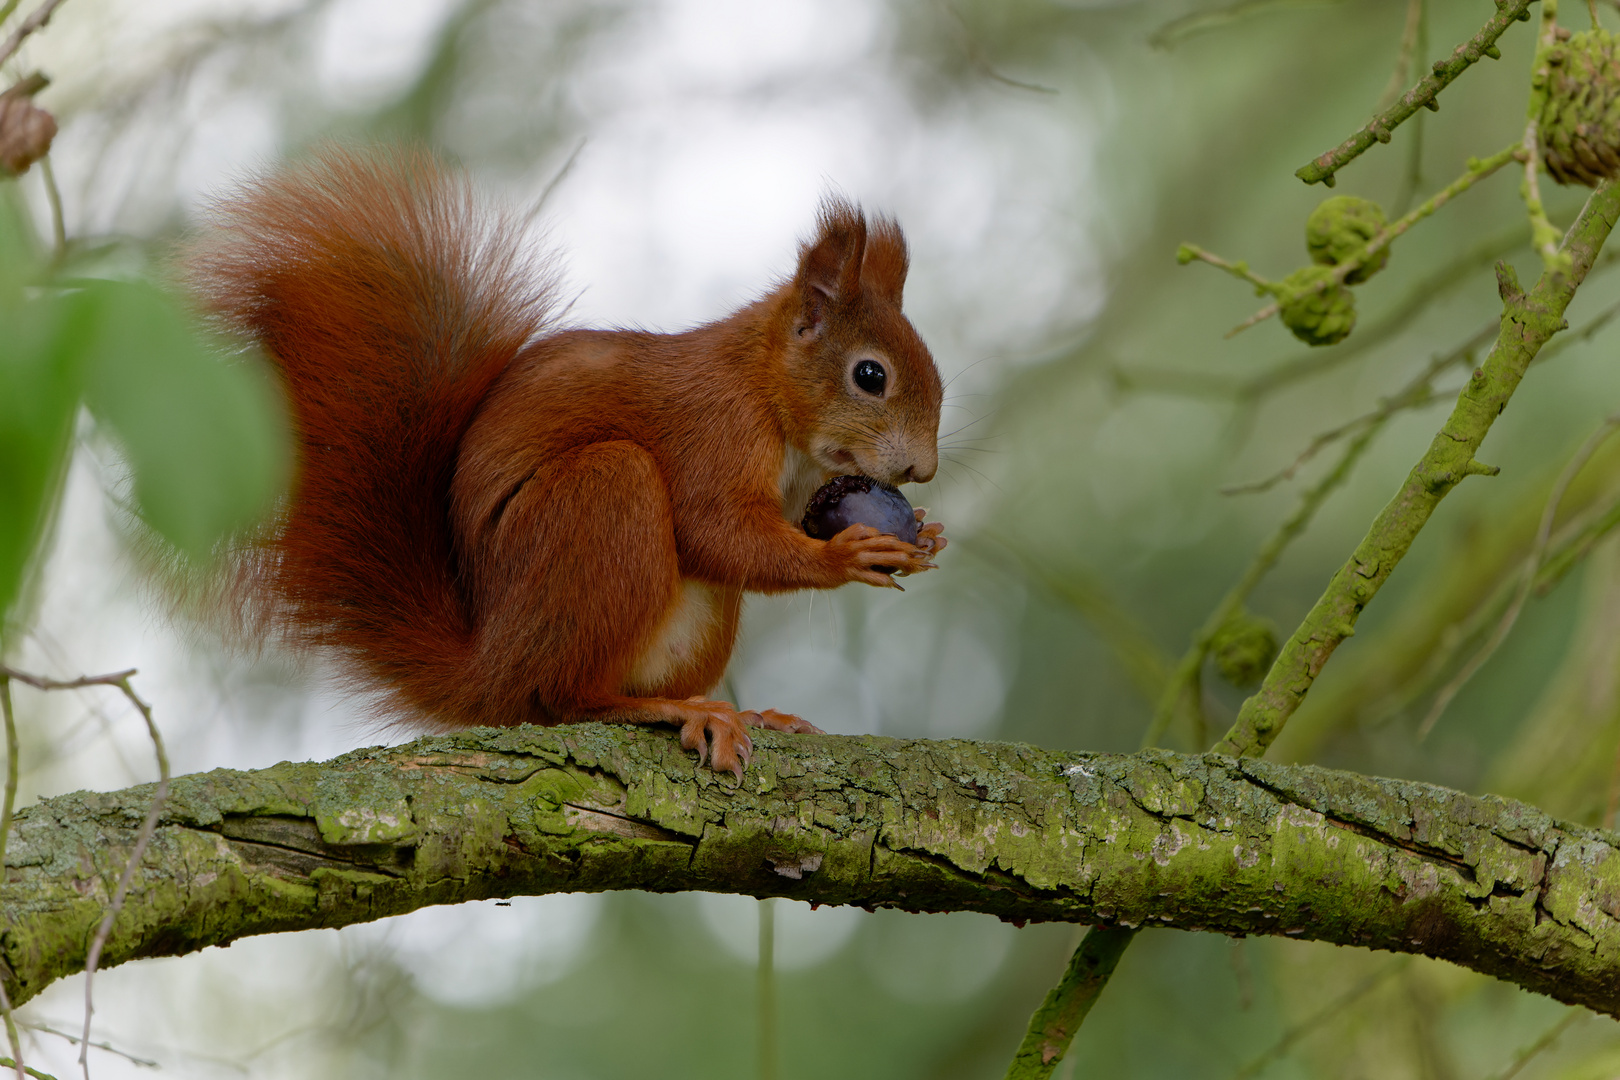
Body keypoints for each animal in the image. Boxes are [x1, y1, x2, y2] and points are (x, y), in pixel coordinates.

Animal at [186, 149, 946, 777]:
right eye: (870, 376)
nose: (924, 470)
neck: (768, 391)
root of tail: (489, 665)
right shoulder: (715, 428)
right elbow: (714, 529)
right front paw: (846, 556)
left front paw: (928, 535)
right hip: (601, 499)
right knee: (563, 697)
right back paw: (681, 711)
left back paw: (744, 711)